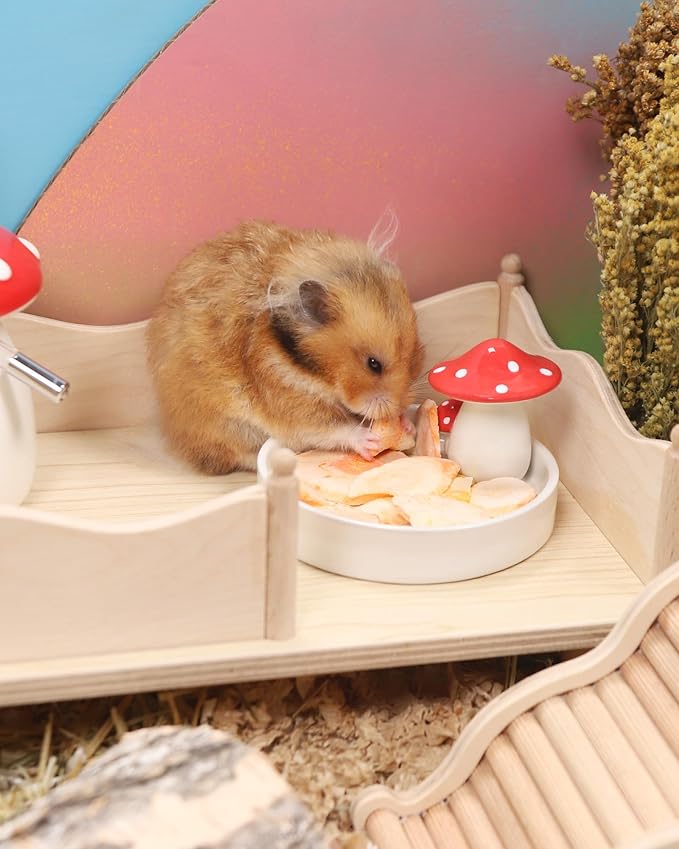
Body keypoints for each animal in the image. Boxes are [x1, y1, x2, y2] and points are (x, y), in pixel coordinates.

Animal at [146, 220, 425, 474]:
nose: (398, 410)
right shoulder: (290, 403)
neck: (313, 371)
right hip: (227, 430)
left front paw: (407, 425)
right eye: (373, 364)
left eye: (413, 356)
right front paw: (370, 439)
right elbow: (332, 427)